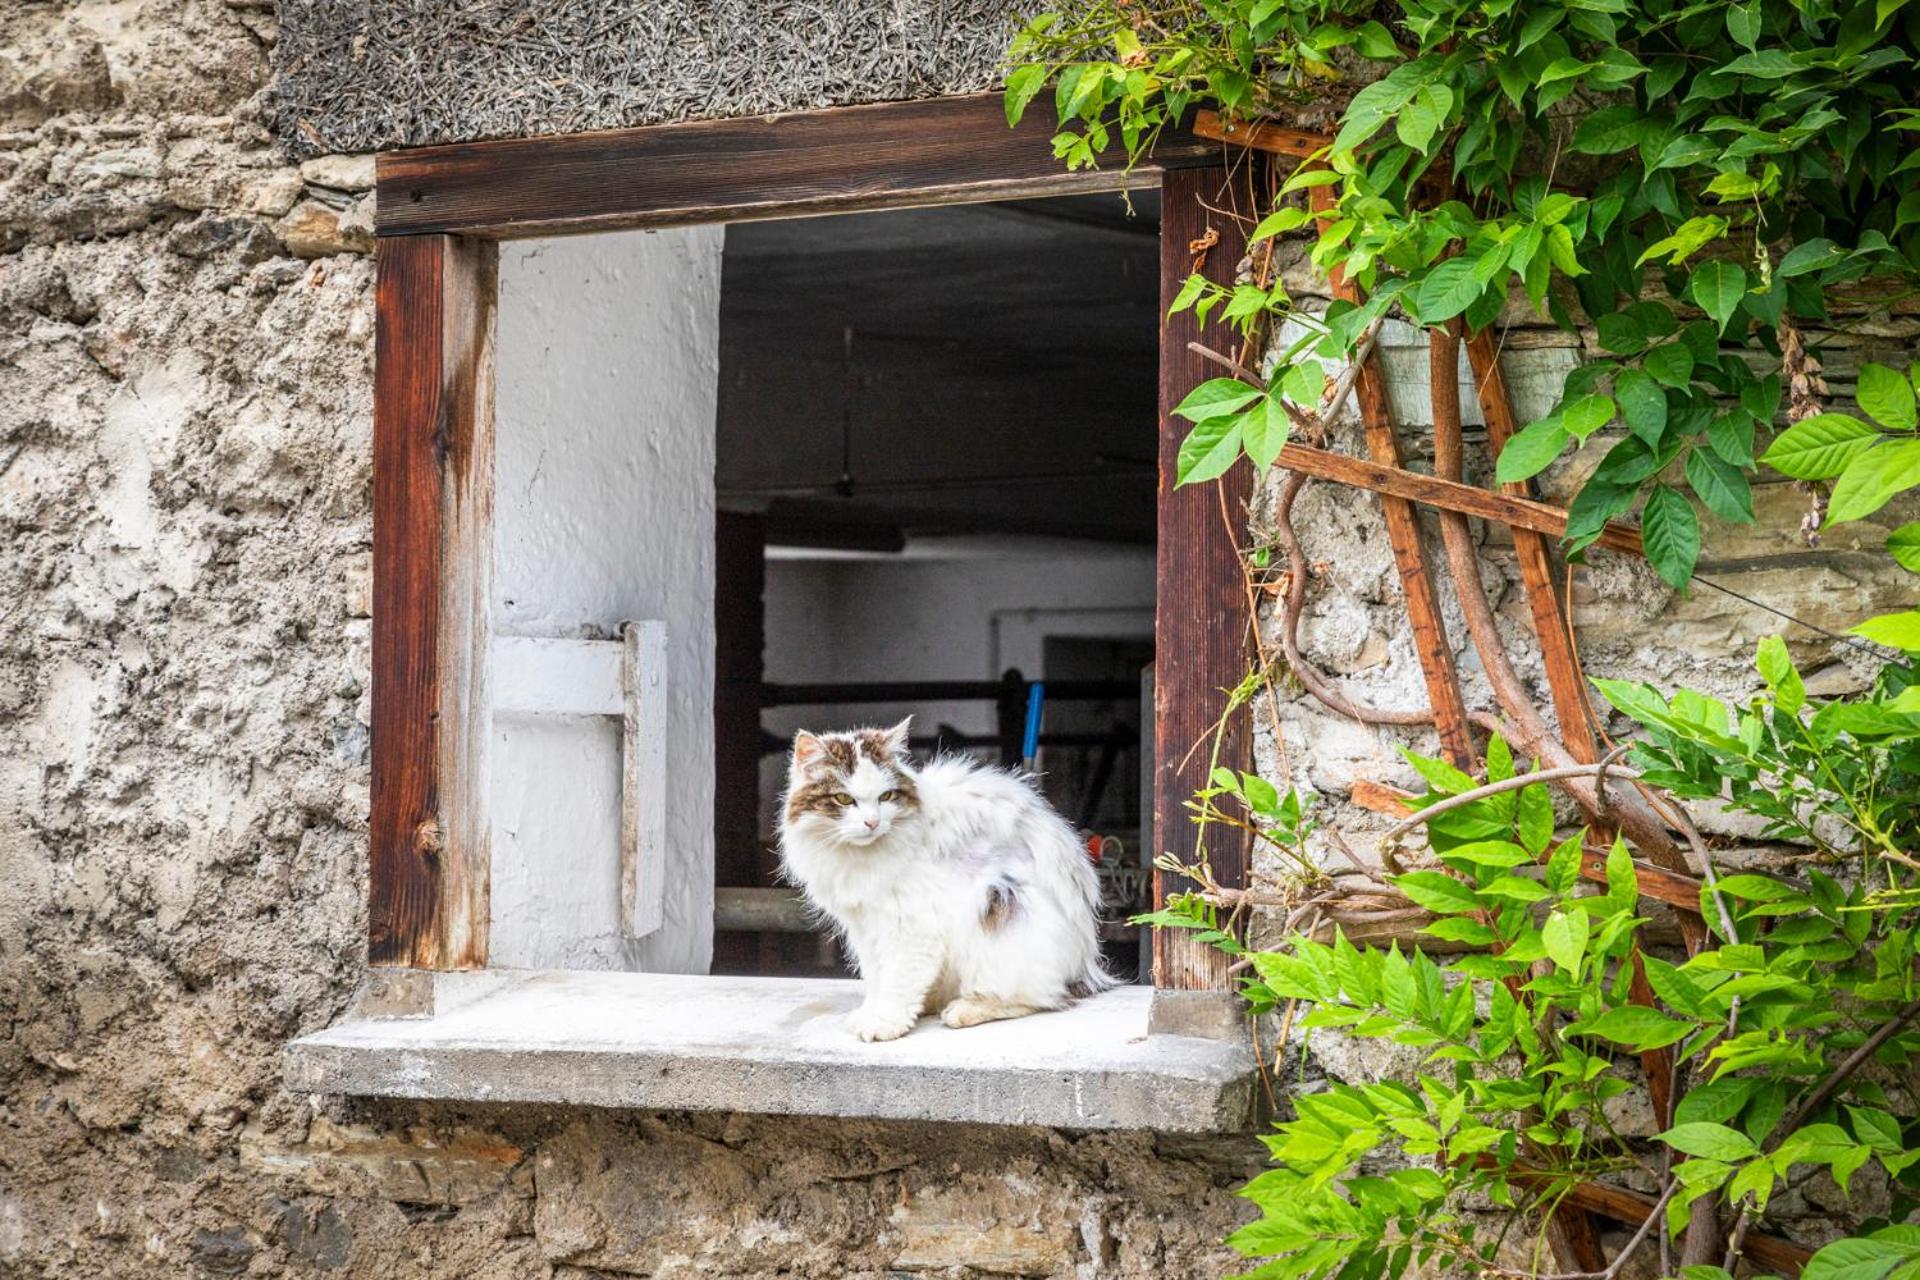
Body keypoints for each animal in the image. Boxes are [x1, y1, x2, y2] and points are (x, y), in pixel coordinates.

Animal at [775, 721, 1113, 1043]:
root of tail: (1085, 961)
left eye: (886, 797)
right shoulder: (865, 927)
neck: (859, 856)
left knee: (1043, 998)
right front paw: (872, 1011)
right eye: (844, 799)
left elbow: (897, 980)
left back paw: (964, 1009)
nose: (872, 822)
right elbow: (877, 975)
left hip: (999, 910)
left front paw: (885, 1022)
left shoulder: (911, 927)